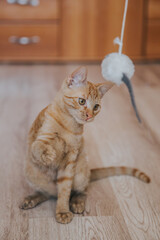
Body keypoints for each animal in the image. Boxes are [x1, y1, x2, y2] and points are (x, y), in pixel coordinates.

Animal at [20, 65, 150, 223]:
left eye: (96, 107)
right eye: (82, 101)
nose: (89, 116)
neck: (68, 124)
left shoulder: (70, 160)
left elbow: (65, 189)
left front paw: (62, 210)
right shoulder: (41, 138)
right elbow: (38, 147)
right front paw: (48, 154)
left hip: (80, 173)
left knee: (81, 190)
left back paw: (76, 202)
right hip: (32, 174)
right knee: (47, 193)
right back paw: (31, 199)